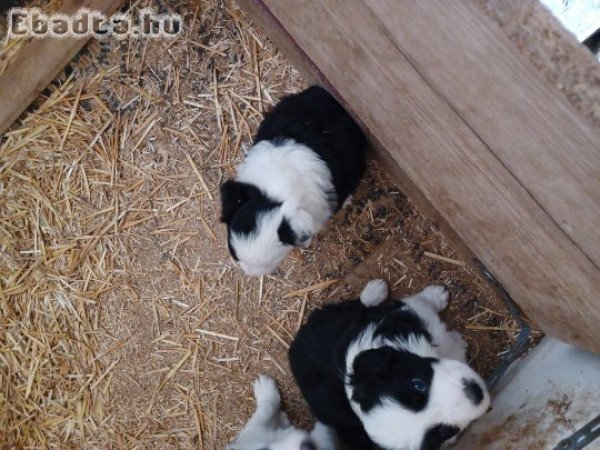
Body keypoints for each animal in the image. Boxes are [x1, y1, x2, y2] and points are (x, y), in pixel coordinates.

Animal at [288, 280, 490, 448]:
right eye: (443, 431)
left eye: (418, 384)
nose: (475, 393)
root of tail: (293, 347)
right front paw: (460, 344)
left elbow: (422, 302)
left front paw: (437, 295)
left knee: (358, 305)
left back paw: (375, 291)